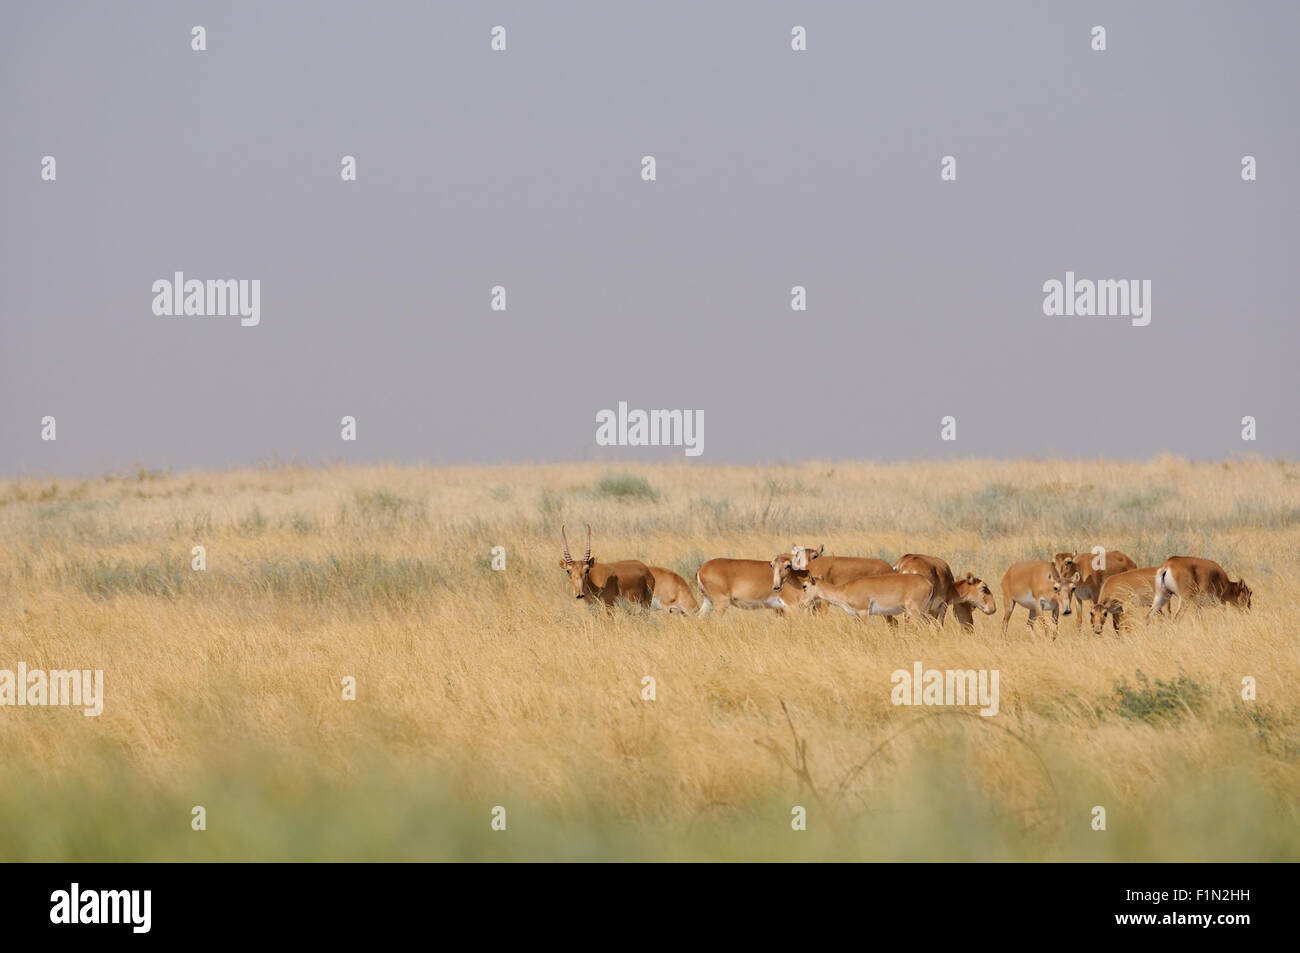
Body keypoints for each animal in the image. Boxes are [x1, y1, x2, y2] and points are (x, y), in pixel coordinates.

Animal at [800, 569, 935, 621]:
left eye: (804, 586)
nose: (801, 604)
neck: (844, 590)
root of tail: (928, 582)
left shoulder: (864, 612)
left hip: (916, 612)